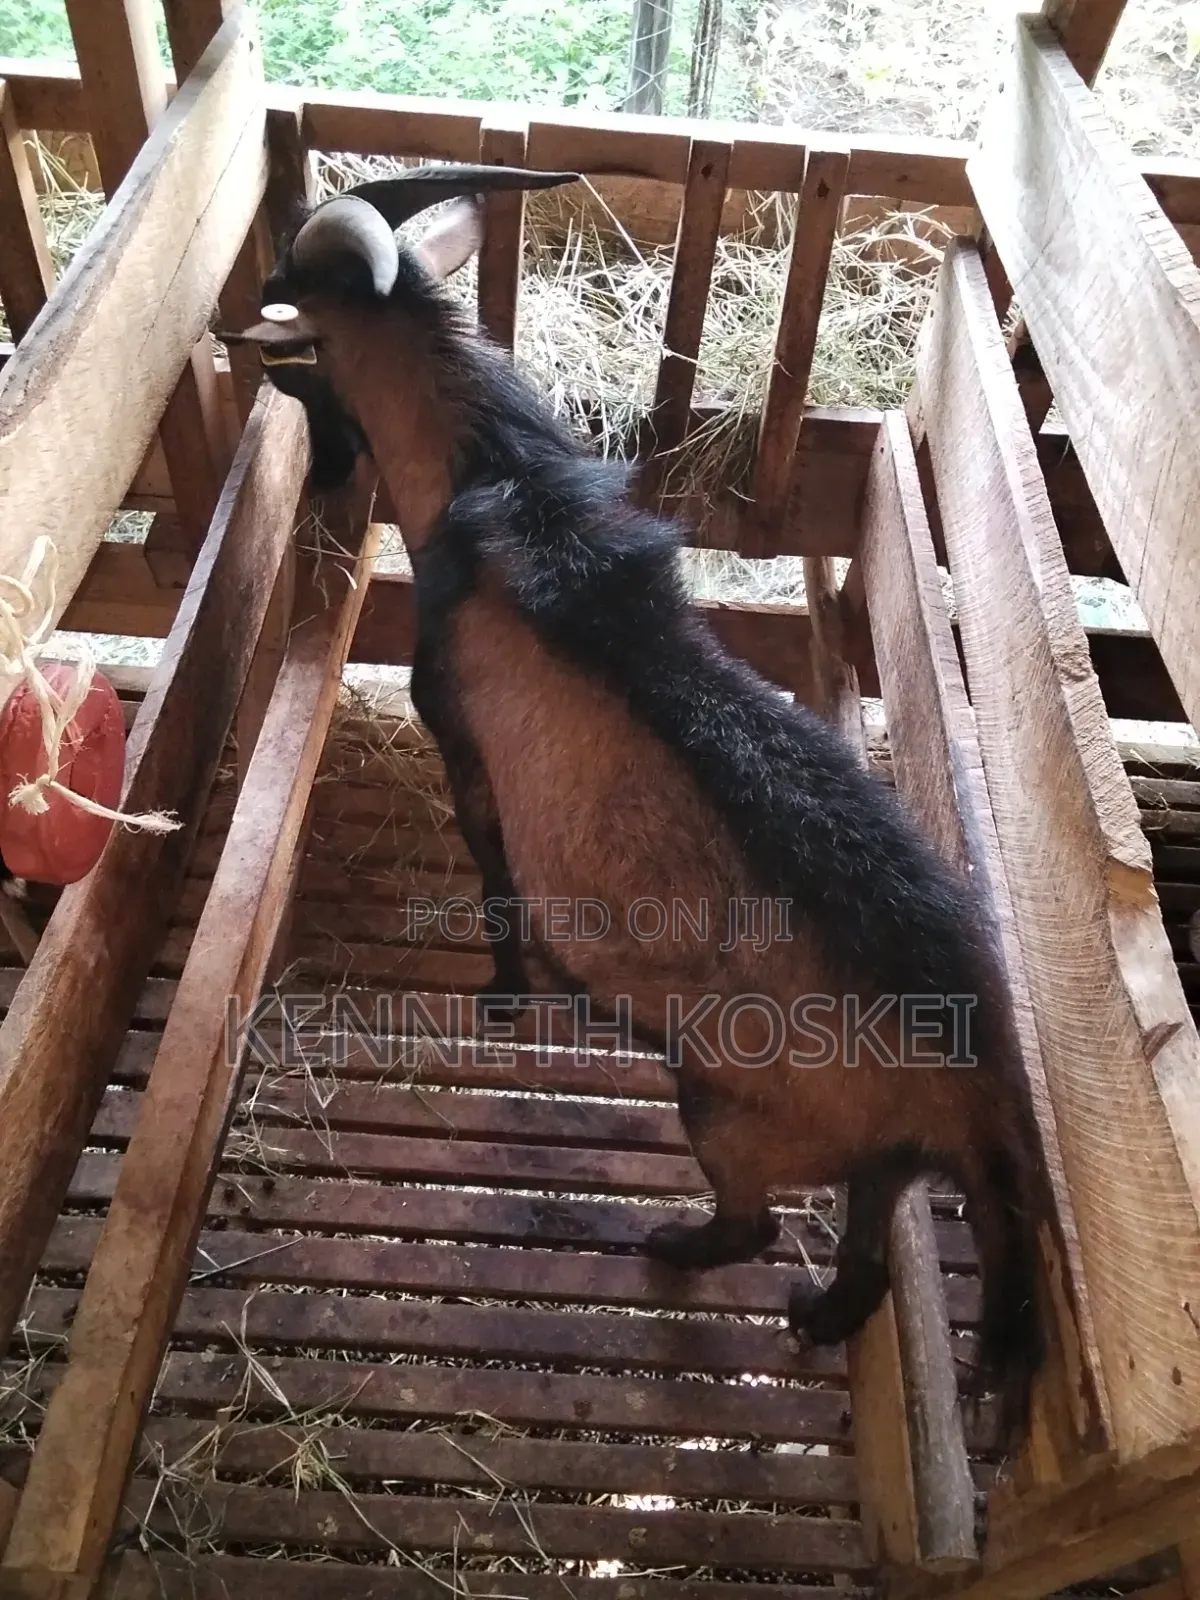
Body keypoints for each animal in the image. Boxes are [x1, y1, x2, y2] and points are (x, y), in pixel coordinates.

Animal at [224, 167, 1051, 1450]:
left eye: (291, 315)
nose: (239, 324)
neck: (498, 490)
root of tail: (975, 1092)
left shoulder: (463, 741)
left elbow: (496, 872)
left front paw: (509, 996)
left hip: (734, 1104)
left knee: (757, 1217)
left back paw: (674, 1245)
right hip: (883, 1154)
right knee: (869, 1251)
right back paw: (814, 1314)